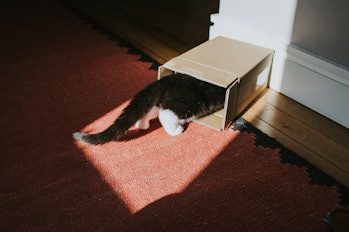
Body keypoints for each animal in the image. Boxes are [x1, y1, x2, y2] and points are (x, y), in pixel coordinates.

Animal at [73, 73, 226, 144]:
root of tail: (164, 82)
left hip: (159, 101)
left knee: (148, 110)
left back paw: (142, 125)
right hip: (189, 104)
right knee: (165, 115)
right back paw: (176, 131)